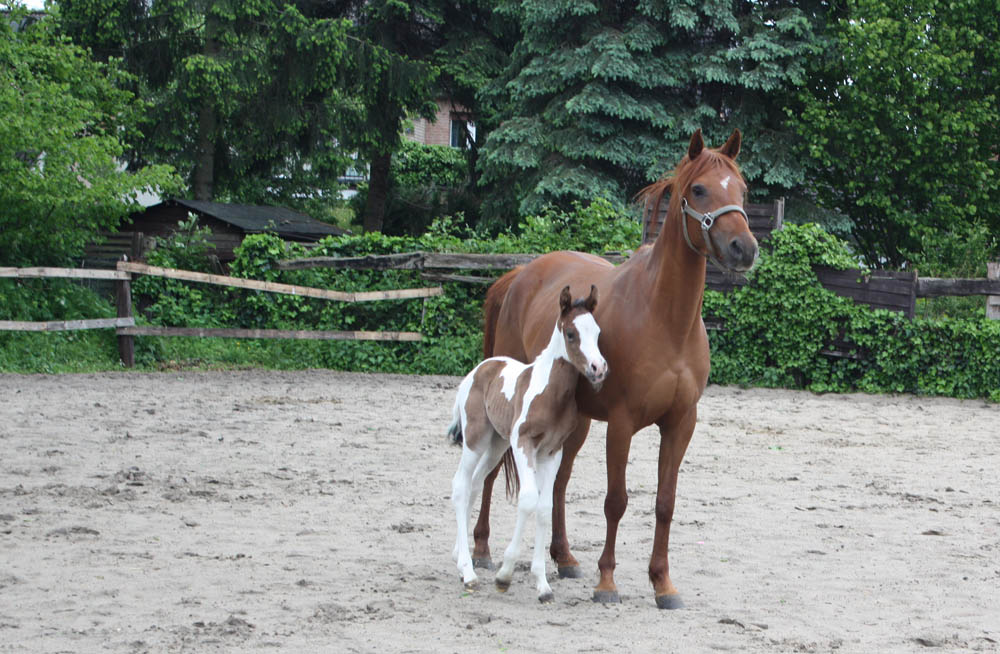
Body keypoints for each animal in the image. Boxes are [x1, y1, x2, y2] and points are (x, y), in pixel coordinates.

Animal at [450, 288, 604, 604]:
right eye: (571, 334)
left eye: (597, 332)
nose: (599, 368)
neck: (550, 391)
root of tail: (476, 371)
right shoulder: (523, 445)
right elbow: (529, 499)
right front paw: (504, 575)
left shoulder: (552, 451)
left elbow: (544, 507)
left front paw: (543, 585)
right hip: (475, 439)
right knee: (460, 485)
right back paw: (469, 573)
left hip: (496, 444)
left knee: (474, 484)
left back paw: (461, 560)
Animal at [476, 128, 756, 608]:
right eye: (700, 189)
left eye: (741, 190)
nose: (745, 248)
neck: (666, 319)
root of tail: (519, 276)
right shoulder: (622, 423)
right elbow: (616, 500)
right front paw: (607, 582)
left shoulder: (681, 423)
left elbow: (665, 502)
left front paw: (662, 583)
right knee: (493, 472)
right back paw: (480, 550)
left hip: (576, 422)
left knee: (559, 482)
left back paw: (565, 558)